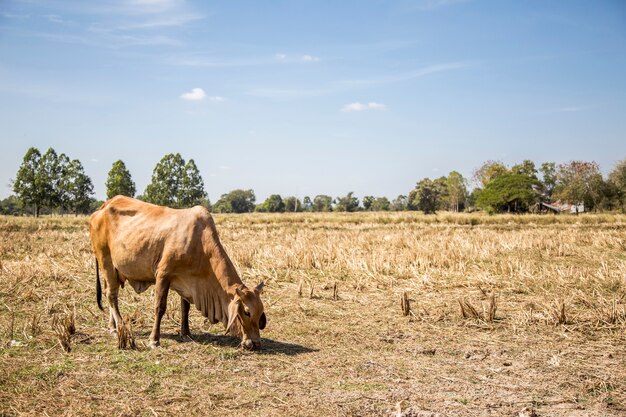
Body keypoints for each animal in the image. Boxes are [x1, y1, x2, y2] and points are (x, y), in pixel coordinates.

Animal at [88, 195, 264, 348]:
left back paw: (112, 326)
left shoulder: (187, 281)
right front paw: (154, 340)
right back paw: (121, 327)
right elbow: (160, 308)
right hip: (106, 261)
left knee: (109, 293)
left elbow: (185, 308)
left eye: (260, 311)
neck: (200, 243)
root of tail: (104, 206)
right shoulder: (163, 275)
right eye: (246, 312)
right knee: (111, 296)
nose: (255, 343)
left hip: (112, 270)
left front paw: (185, 333)